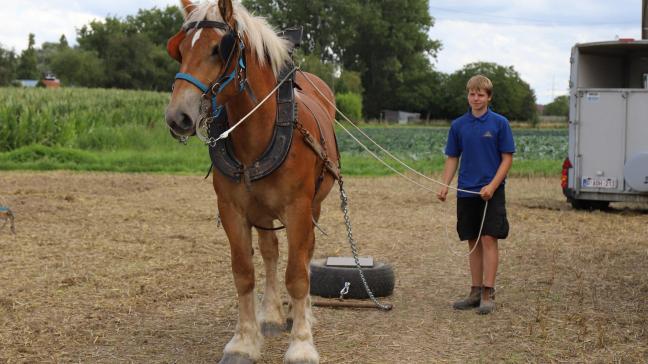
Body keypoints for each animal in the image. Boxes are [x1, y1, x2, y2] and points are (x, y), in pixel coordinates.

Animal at [165, 1, 340, 362]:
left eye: (219, 49)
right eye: (180, 50)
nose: (178, 116)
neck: (257, 132)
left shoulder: (299, 209)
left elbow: (297, 274)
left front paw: (302, 343)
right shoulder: (232, 210)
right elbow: (244, 272)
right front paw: (245, 341)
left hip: (314, 205)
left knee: (305, 253)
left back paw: (302, 313)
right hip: (261, 209)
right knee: (271, 251)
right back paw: (271, 314)